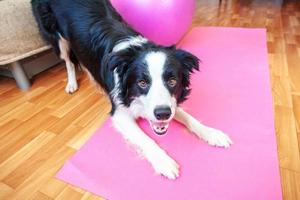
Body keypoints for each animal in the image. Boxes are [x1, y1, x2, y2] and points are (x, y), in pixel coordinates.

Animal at [31, 0, 233, 179]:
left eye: (172, 81)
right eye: (142, 83)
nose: (162, 114)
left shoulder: (169, 103)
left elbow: (189, 118)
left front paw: (212, 133)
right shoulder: (120, 113)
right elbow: (146, 139)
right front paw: (163, 161)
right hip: (56, 37)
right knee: (68, 60)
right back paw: (72, 83)